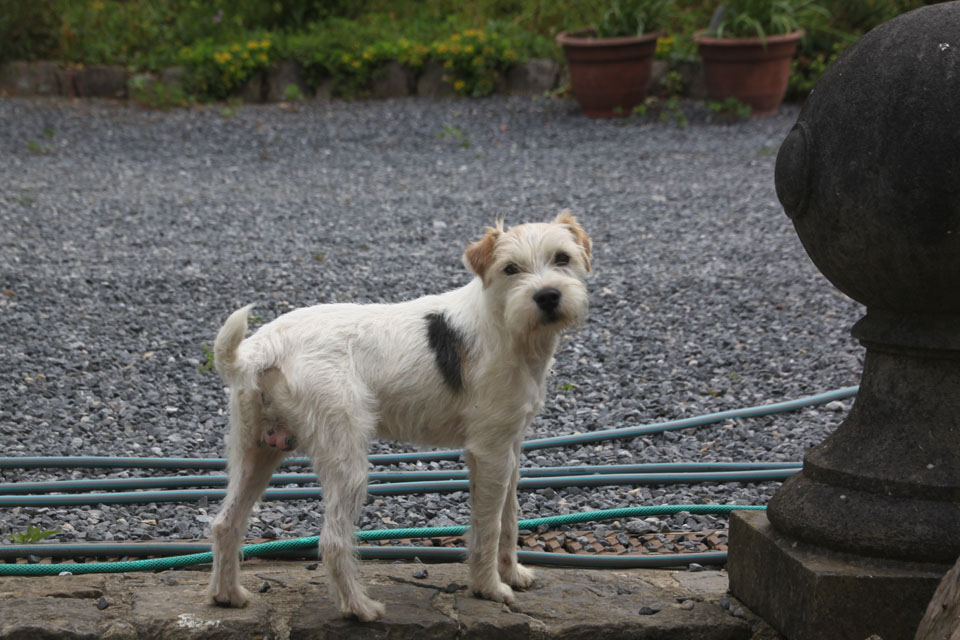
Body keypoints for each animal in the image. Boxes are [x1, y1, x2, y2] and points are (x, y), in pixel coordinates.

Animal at [206, 211, 591, 620]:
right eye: (511, 268)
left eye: (562, 258)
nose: (547, 296)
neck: (504, 320)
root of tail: (262, 348)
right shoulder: (489, 453)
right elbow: (487, 527)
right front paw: (489, 588)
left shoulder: (510, 449)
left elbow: (509, 518)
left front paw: (513, 574)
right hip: (346, 462)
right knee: (333, 540)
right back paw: (360, 608)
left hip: (257, 452)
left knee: (225, 524)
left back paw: (228, 595)